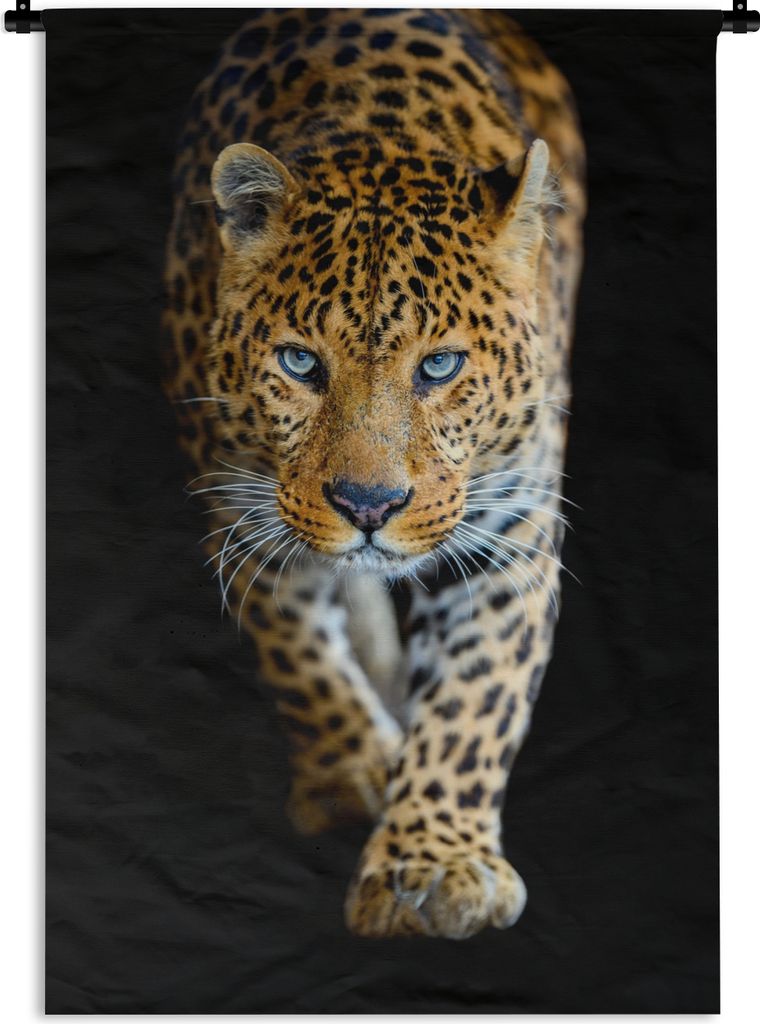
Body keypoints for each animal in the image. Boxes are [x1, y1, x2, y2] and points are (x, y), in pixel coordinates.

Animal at [163, 7, 585, 940]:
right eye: (299, 363)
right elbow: (296, 651)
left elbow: (476, 701)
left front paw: (435, 862)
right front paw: (351, 773)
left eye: (439, 366)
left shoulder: (510, 536)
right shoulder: (242, 506)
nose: (367, 505)